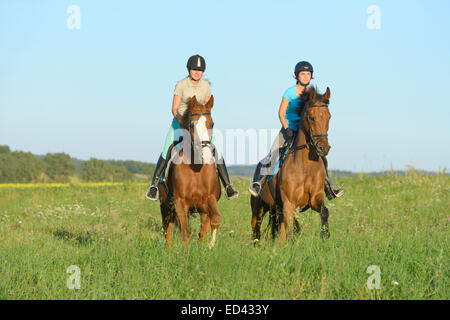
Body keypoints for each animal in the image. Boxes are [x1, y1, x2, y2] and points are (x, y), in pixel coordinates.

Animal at [158, 95, 221, 248]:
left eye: (212, 124)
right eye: (192, 125)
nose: (206, 155)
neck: (196, 168)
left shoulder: (209, 200)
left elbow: (214, 221)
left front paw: (209, 246)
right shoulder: (180, 202)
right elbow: (185, 234)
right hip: (166, 207)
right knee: (168, 233)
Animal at [251, 86, 332, 244]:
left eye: (329, 117)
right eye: (312, 117)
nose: (323, 148)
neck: (306, 167)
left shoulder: (315, 199)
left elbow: (324, 212)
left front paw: (326, 236)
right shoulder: (289, 203)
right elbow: (291, 231)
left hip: (276, 209)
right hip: (258, 208)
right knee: (255, 229)